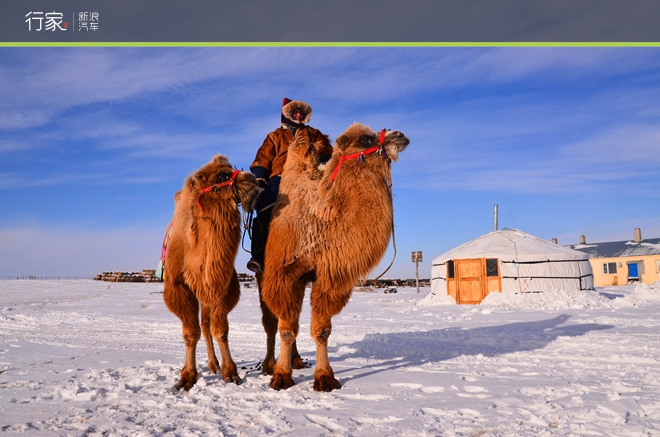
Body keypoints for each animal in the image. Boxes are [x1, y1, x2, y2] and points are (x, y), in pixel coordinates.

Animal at [162, 152, 260, 388]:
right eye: (222, 175)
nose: (252, 179)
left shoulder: (220, 286)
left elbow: (220, 330)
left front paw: (231, 373)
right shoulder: (179, 286)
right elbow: (190, 333)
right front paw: (187, 377)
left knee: (206, 325)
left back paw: (215, 365)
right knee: (201, 326)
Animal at [260, 122, 410, 392]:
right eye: (365, 139)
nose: (400, 135)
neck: (322, 219)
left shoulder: (329, 276)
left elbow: (321, 330)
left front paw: (325, 378)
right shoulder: (283, 274)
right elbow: (285, 328)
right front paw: (281, 376)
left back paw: (297, 361)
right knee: (271, 323)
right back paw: (268, 365)